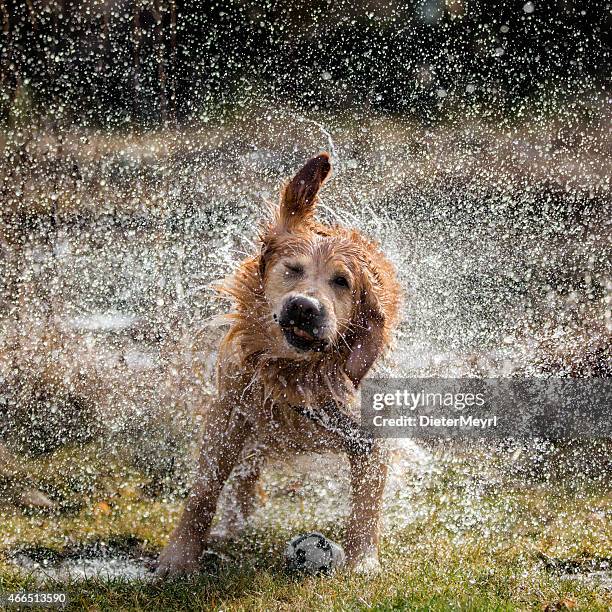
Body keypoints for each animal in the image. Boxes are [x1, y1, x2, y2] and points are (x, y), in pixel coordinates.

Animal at [157, 151, 402, 576]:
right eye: (293, 269)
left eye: (342, 282)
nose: (304, 307)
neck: (295, 371)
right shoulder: (230, 411)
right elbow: (205, 490)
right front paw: (181, 554)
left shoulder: (368, 433)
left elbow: (365, 510)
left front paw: (362, 562)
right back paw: (232, 527)